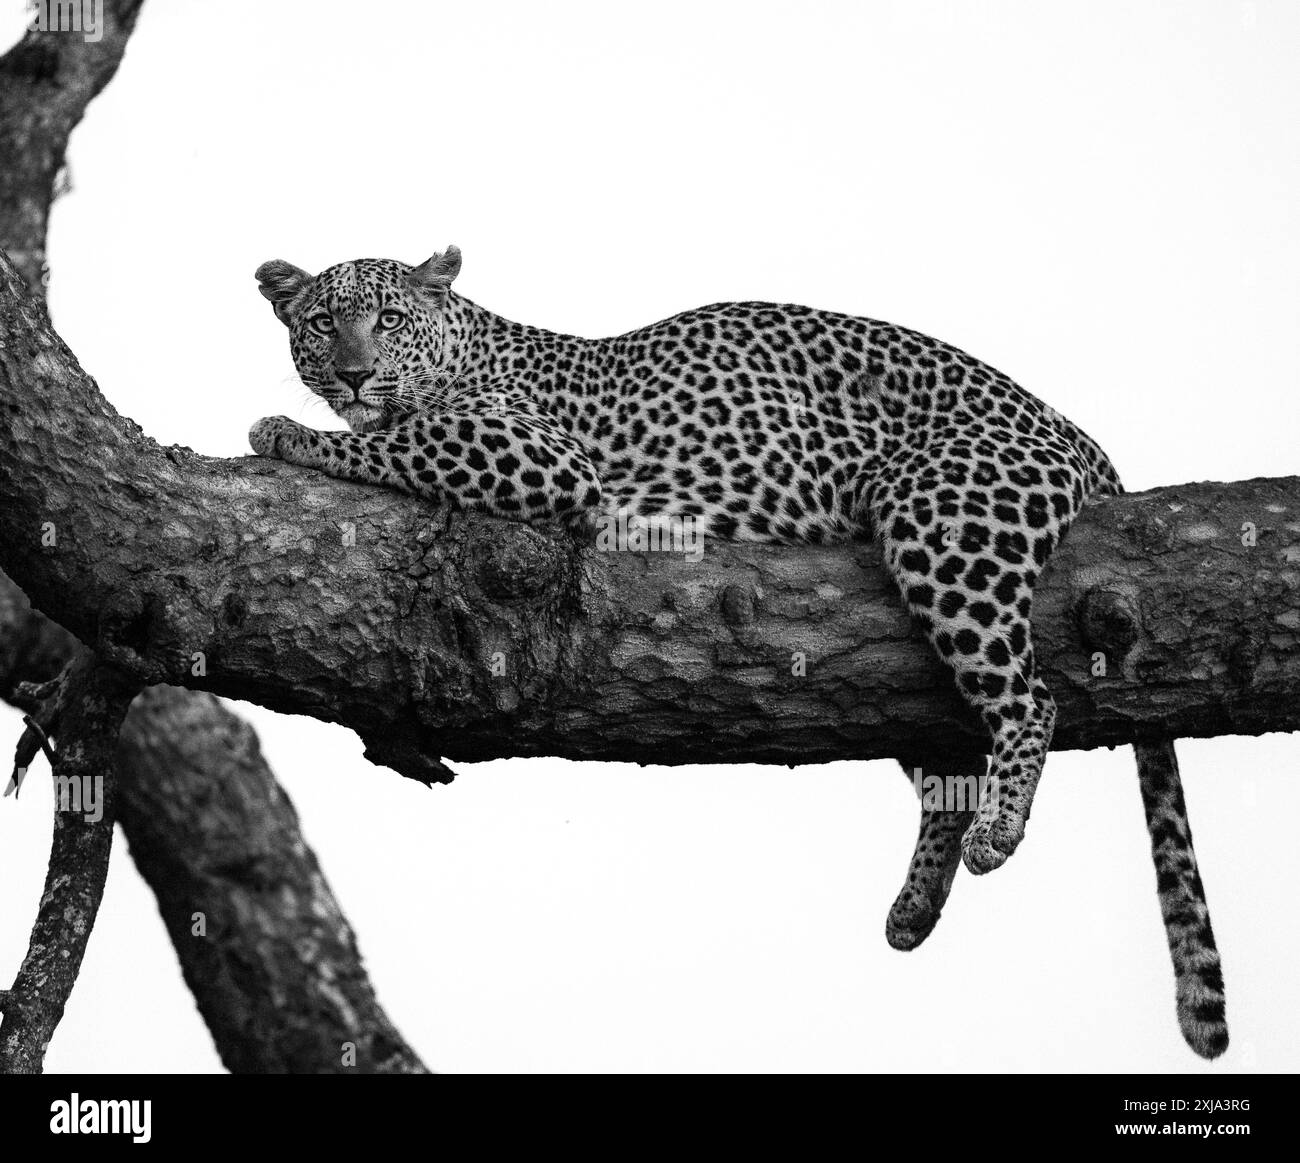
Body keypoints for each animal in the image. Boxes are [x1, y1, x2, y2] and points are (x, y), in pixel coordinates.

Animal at [250, 248, 1227, 1065]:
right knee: (949, 764)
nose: (352, 372)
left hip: (944, 523)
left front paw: (288, 433)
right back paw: (914, 909)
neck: (465, 347)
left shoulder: (540, 452)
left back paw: (999, 832)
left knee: (1028, 700)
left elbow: (398, 439)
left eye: (387, 318)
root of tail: (1076, 435)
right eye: (321, 323)